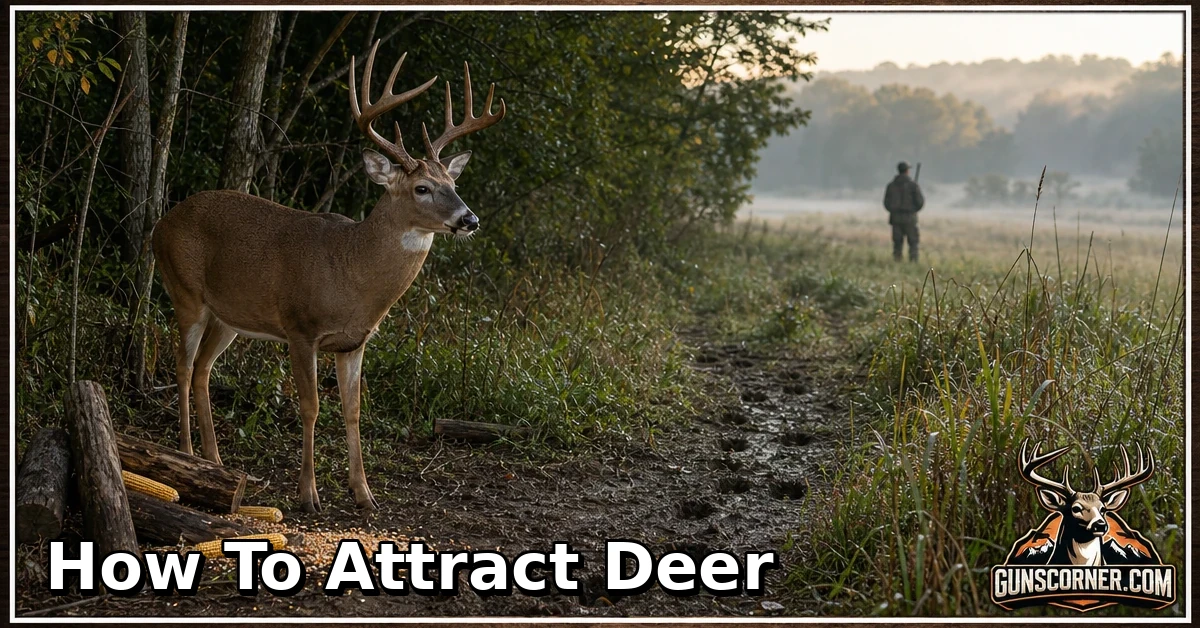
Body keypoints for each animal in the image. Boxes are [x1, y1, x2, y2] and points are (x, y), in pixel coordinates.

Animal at [152, 41, 505, 513]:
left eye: (453, 182)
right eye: (422, 188)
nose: (470, 219)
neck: (350, 271)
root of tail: (161, 222)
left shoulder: (354, 342)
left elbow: (352, 410)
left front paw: (365, 494)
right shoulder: (301, 327)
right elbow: (311, 406)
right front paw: (308, 494)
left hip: (230, 315)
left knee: (204, 369)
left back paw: (215, 463)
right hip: (185, 291)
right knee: (183, 364)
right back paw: (187, 455)